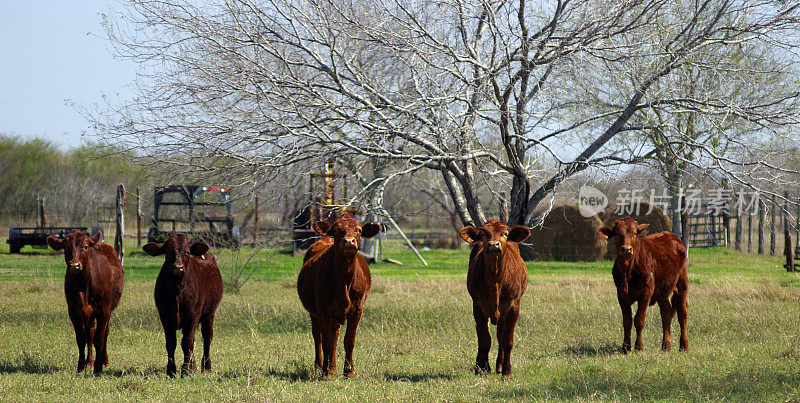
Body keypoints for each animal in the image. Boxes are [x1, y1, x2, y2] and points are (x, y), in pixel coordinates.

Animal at [47, 230, 124, 376]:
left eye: (85, 247)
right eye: (66, 247)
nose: (74, 265)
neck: (83, 286)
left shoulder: (104, 311)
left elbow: (99, 338)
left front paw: (98, 367)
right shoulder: (73, 311)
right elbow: (81, 338)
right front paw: (81, 366)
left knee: (104, 333)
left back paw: (104, 361)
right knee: (90, 334)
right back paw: (89, 363)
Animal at [142, 234, 223, 378]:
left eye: (187, 252)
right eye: (168, 252)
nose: (178, 268)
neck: (177, 290)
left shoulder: (193, 315)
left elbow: (186, 343)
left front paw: (186, 370)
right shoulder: (164, 316)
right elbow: (171, 342)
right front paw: (171, 370)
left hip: (209, 314)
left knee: (207, 338)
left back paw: (206, 366)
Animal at [296, 215, 382, 382]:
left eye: (359, 230)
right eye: (336, 230)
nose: (348, 241)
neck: (344, 281)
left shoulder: (357, 310)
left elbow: (349, 341)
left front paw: (349, 371)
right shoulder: (323, 309)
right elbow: (326, 342)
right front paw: (325, 374)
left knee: (335, 335)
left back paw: (333, 367)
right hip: (314, 312)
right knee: (318, 336)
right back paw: (320, 365)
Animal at [456, 221, 532, 378]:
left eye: (505, 233)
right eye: (483, 233)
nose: (493, 245)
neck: (495, 279)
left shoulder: (513, 306)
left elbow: (507, 340)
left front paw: (507, 372)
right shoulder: (478, 306)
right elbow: (484, 340)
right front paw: (484, 370)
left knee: (500, 337)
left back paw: (499, 366)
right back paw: (480, 366)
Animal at [600, 218, 688, 354]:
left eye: (634, 233)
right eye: (617, 233)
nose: (626, 249)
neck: (628, 272)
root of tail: (672, 236)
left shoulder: (646, 293)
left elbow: (639, 319)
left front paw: (639, 346)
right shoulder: (621, 294)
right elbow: (627, 321)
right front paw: (626, 347)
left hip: (682, 284)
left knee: (682, 314)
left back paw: (683, 346)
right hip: (662, 292)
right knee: (666, 312)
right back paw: (666, 346)